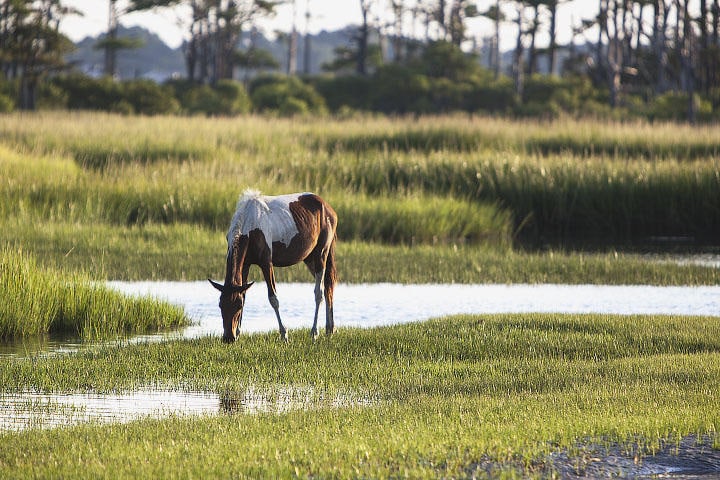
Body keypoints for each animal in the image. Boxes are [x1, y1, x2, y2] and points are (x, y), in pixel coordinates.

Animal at [209, 189, 337, 343]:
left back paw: (314, 332)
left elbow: (273, 298)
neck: (250, 226)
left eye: (237, 306)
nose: (229, 338)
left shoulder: (266, 263)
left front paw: (284, 335)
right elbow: (244, 294)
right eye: (220, 305)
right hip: (309, 258)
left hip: (321, 255)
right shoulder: (245, 264)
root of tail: (328, 208)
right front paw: (239, 333)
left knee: (319, 292)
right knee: (328, 287)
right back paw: (330, 329)